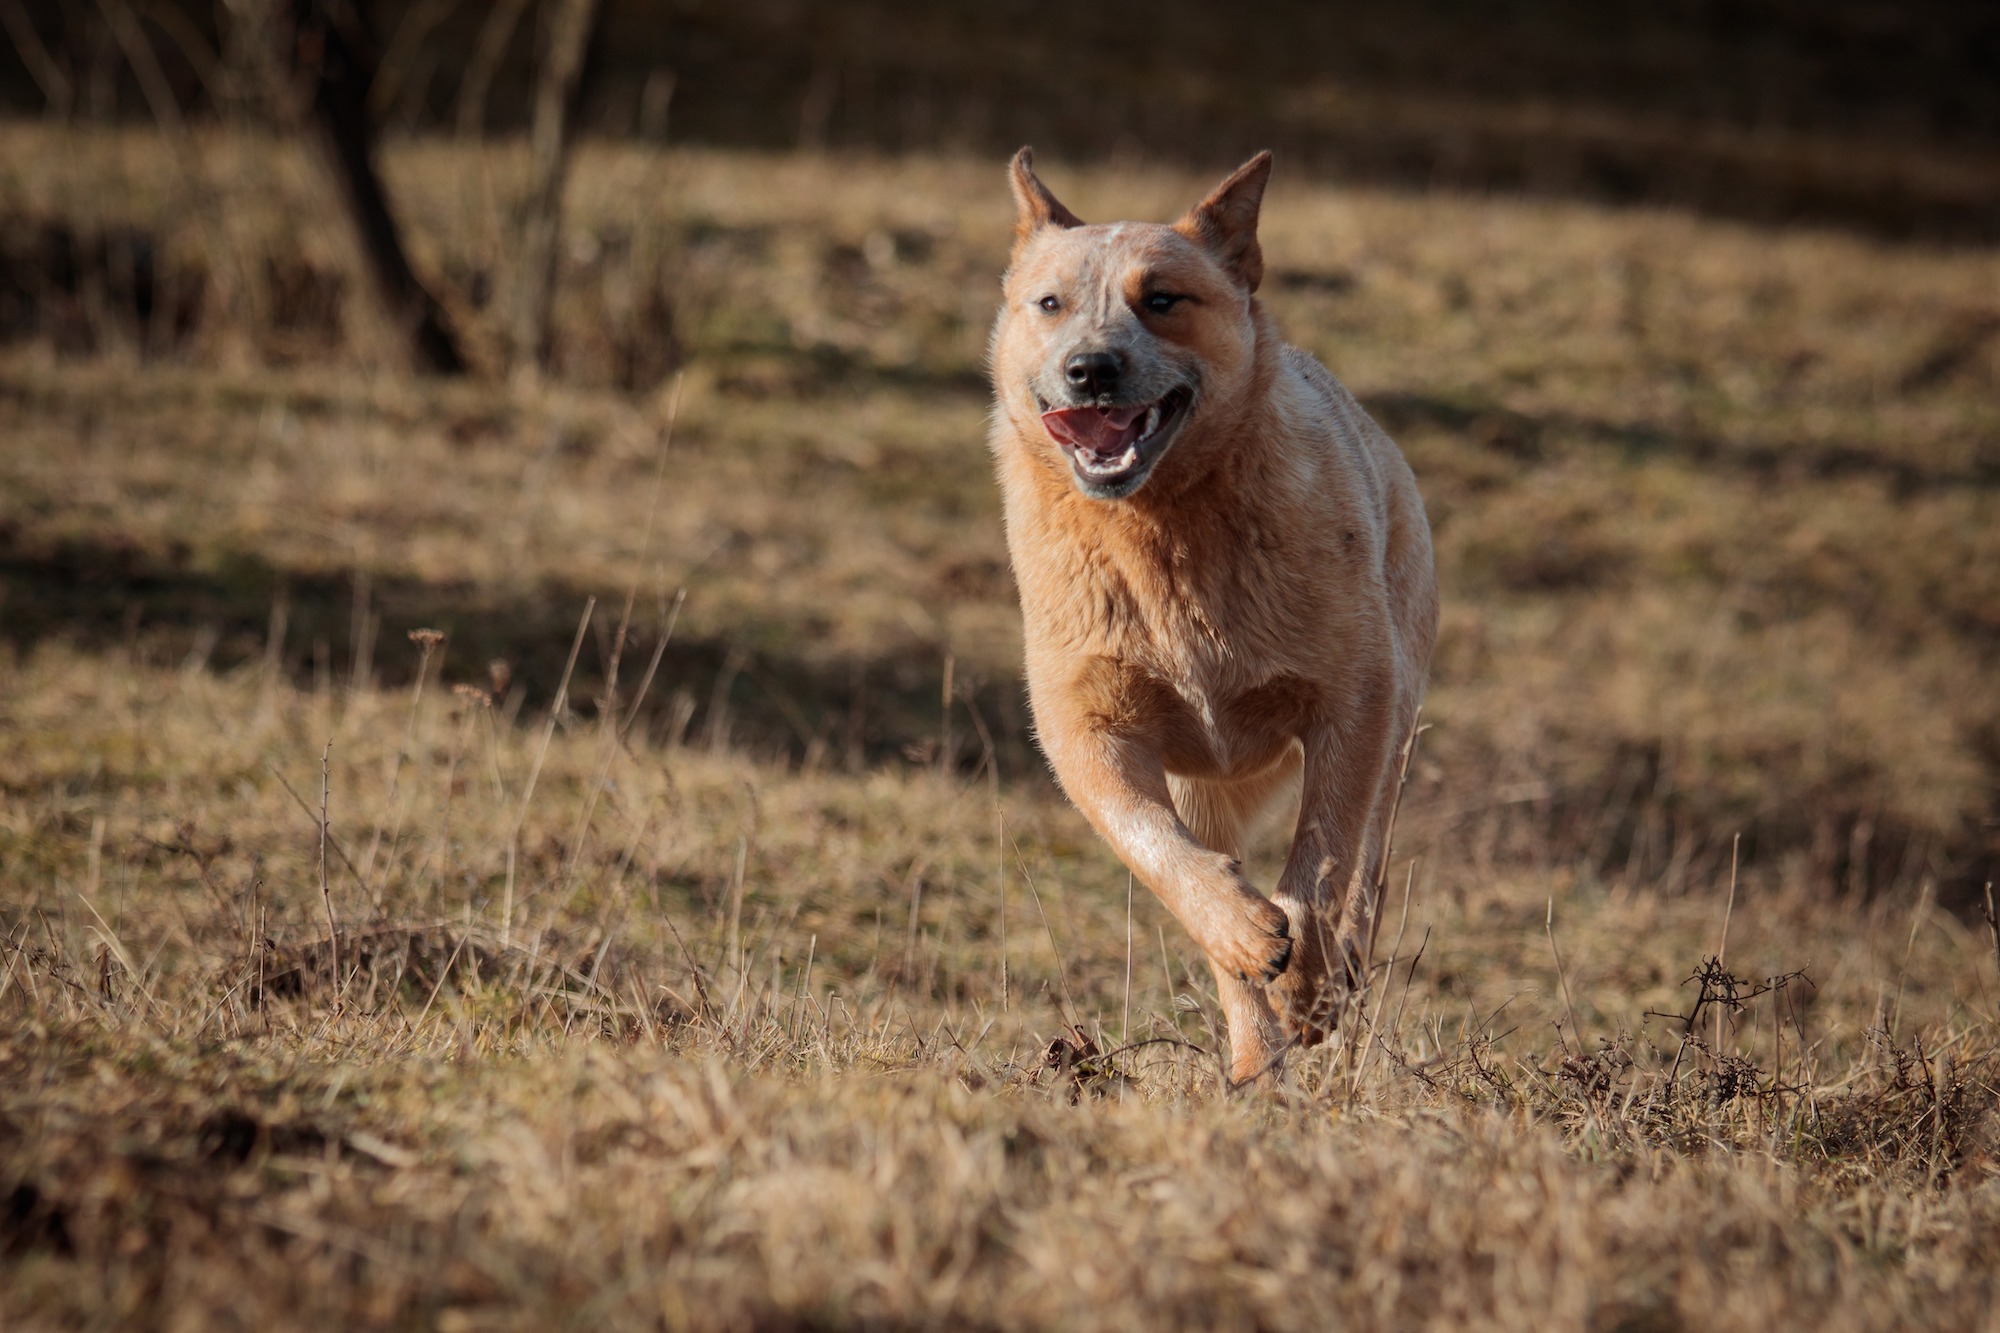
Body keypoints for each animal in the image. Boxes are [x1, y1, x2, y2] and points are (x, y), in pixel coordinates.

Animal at [988, 148, 1440, 1080]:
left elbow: (1322, 858)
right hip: (1209, 784)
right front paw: (1246, 934)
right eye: (1049, 303)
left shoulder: (1353, 701)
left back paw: (1327, 983)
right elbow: (1156, 846)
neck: (1160, 529)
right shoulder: (1084, 726)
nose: (1091, 367)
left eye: (1162, 298)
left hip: (1400, 721)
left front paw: (1304, 978)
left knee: (1369, 865)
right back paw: (1253, 1066)